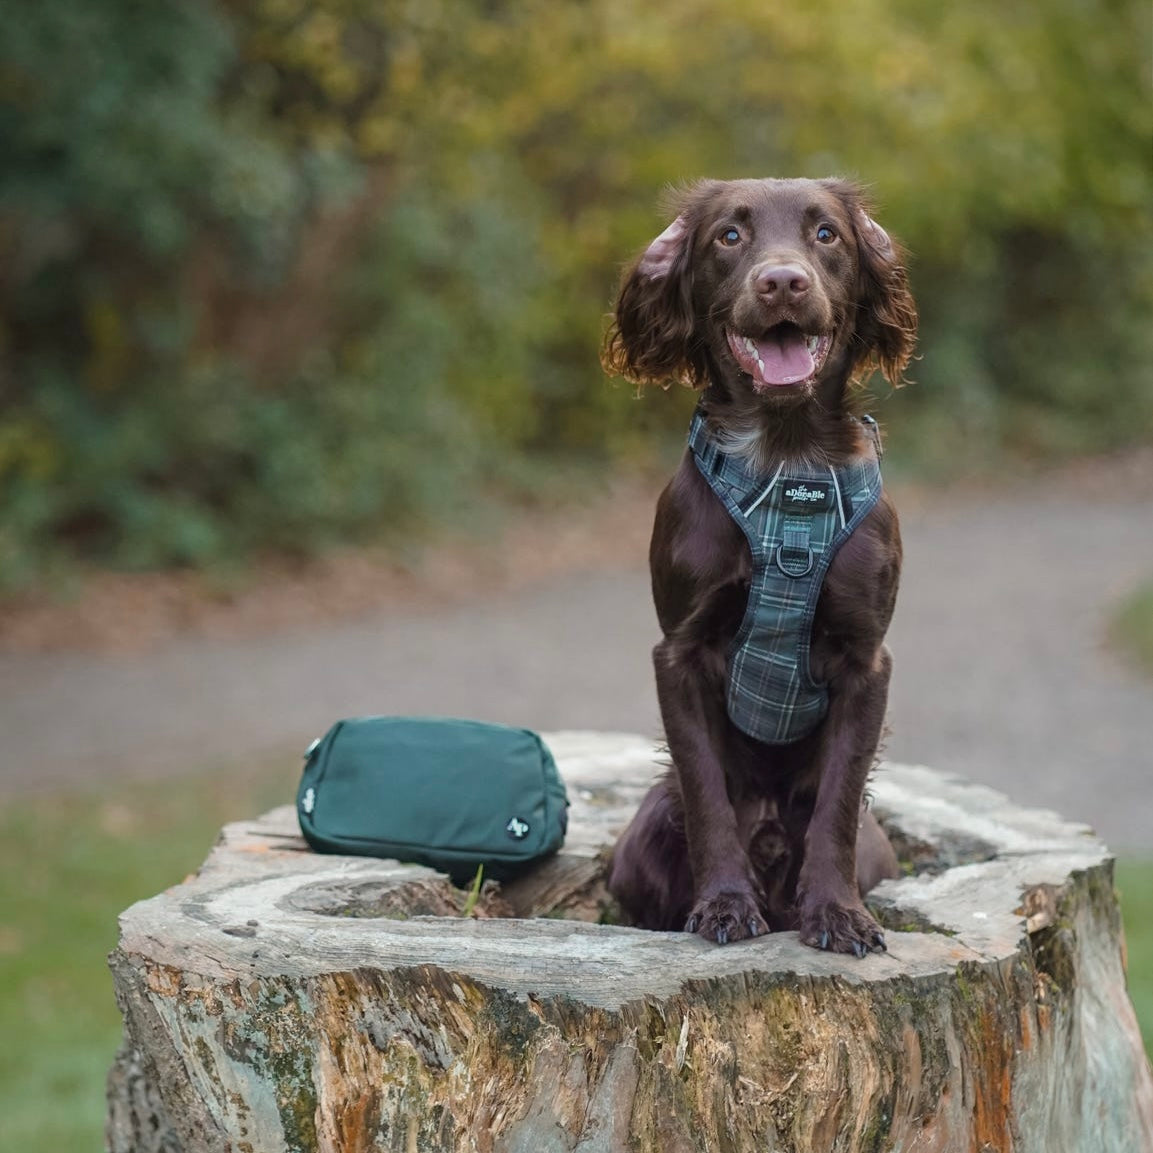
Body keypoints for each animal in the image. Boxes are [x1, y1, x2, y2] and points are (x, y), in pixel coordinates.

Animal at [604, 177, 917, 954]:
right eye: (729, 236)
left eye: (827, 233)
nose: (782, 282)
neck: (785, 457)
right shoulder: (680, 654)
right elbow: (707, 793)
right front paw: (722, 905)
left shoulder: (866, 661)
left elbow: (837, 802)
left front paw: (837, 913)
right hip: (640, 839)